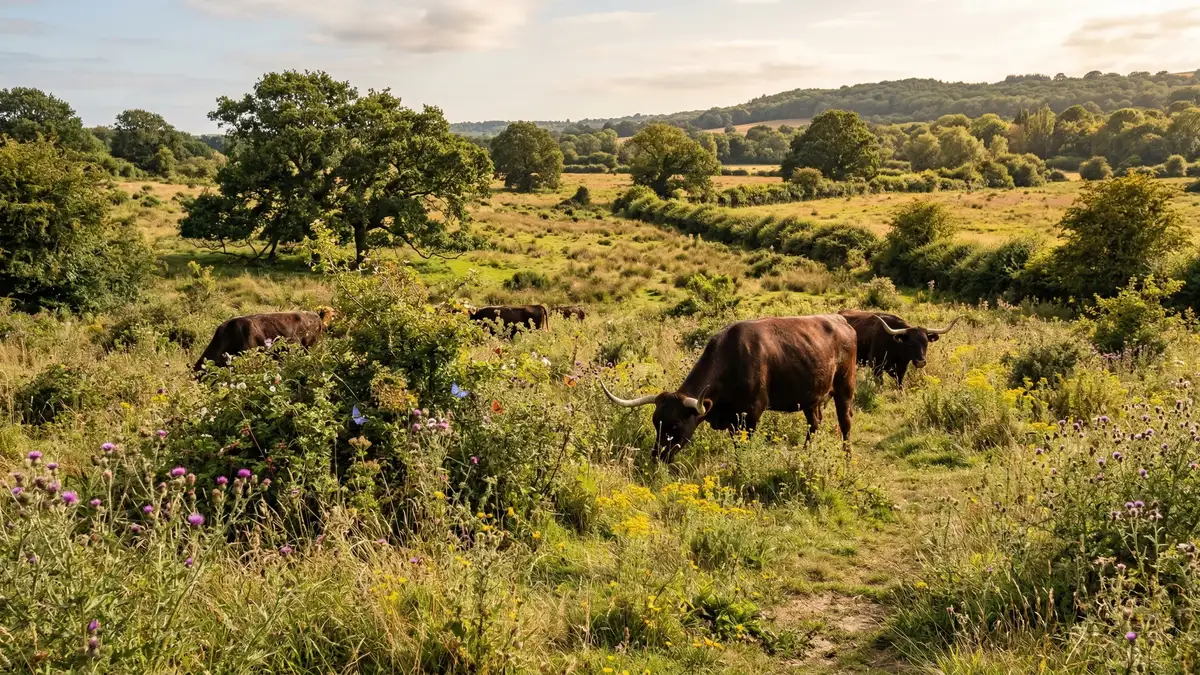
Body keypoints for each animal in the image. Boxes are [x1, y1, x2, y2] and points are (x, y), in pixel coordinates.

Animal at [601, 315, 857, 462]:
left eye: (676, 426)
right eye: (656, 423)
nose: (657, 456)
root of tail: (842, 321)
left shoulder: (750, 416)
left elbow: (740, 448)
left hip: (845, 387)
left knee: (845, 423)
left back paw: (847, 457)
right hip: (811, 396)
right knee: (815, 423)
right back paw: (805, 453)